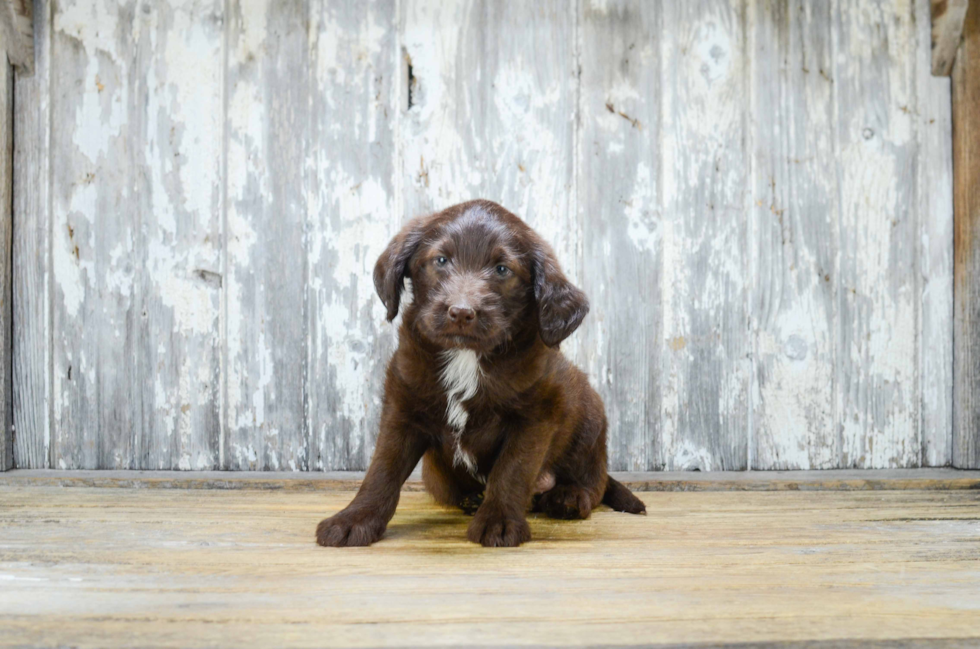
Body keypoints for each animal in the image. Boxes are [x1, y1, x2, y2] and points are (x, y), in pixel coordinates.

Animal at [318, 199, 648, 548]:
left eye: (502, 269)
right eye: (441, 260)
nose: (462, 312)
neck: (466, 357)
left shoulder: (536, 415)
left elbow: (512, 470)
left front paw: (499, 521)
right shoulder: (402, 407)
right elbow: (382, 469)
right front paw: (354, 519)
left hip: (590, 415)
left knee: (594, 481)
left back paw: (568, 496)